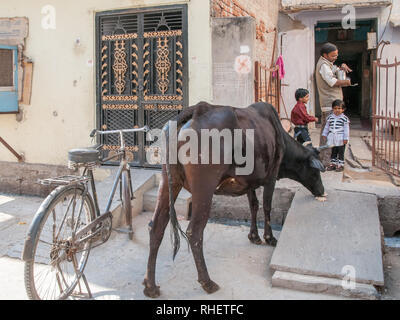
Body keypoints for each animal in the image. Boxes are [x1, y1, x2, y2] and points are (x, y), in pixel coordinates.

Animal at [142, 102, 326, 298]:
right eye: (316, 170)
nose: (322, 191)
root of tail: (197, 109)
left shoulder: (250, 182)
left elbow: (253, 205)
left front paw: (254, 236)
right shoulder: (271, 176)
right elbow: (267, 206)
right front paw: (269, 238)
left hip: (169, 182)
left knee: (156, 227)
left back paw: (150, 285)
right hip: (204, 189)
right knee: (195, 232)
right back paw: (207, 282)